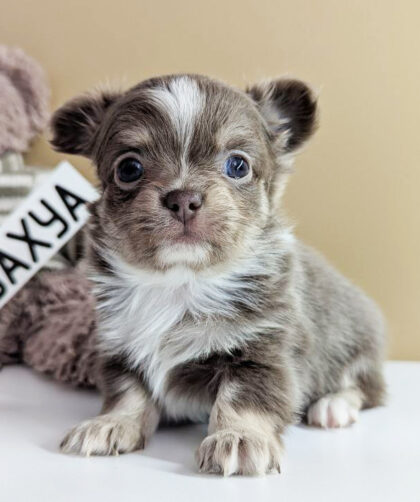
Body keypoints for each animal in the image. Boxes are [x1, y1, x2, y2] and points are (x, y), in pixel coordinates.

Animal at [50, 74, 386, 476]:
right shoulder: (121, 347)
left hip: (355, 338)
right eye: (129, 168)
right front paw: (110, 423)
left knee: (365, 386)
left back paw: (333, 406)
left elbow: (243, 398)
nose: (183, 198)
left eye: (237, 165)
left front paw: (240, 438)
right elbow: (127, 393)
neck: (181, 282)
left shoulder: (262, 350)